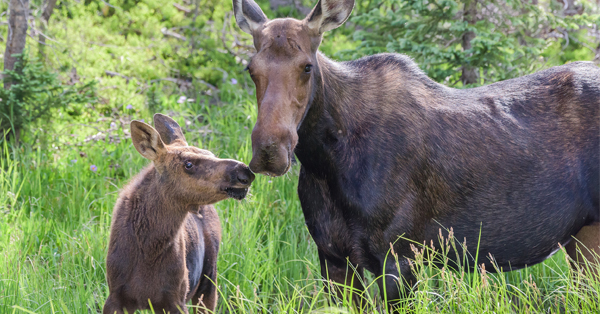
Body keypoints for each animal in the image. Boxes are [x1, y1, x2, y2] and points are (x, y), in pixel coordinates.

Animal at [103, 113, 253, 314]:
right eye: (188, 163)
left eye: (211, 154)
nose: (245, 172)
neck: (148, 250)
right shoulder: (115, 298)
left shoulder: (175, 300)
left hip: (209, 279)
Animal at [233, 0, 600, 310]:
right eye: (250, 68)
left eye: (307, 67)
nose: (269, 149)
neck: (325, 161)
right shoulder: (333, 258)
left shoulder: (400, 257)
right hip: (581, 236)